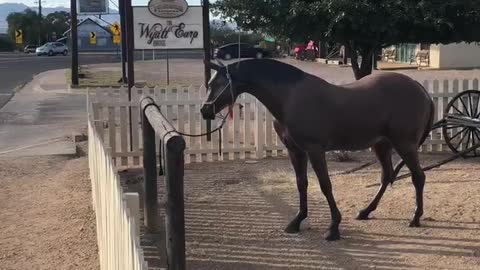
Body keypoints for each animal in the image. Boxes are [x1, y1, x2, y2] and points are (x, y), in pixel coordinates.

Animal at [201, 59, 434, 240]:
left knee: (418, 177)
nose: (205, 110)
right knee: (387, 176)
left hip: (404, 144)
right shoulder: (295, 151)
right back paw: (366, 211)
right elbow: (301, 184)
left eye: (218, 83)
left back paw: (415, 218)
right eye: (210, 83)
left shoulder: (315, 150)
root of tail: (419, 88)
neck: (290, 97)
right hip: (381, 144)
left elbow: (325, 185)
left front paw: (333, 228)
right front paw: (297, 221)